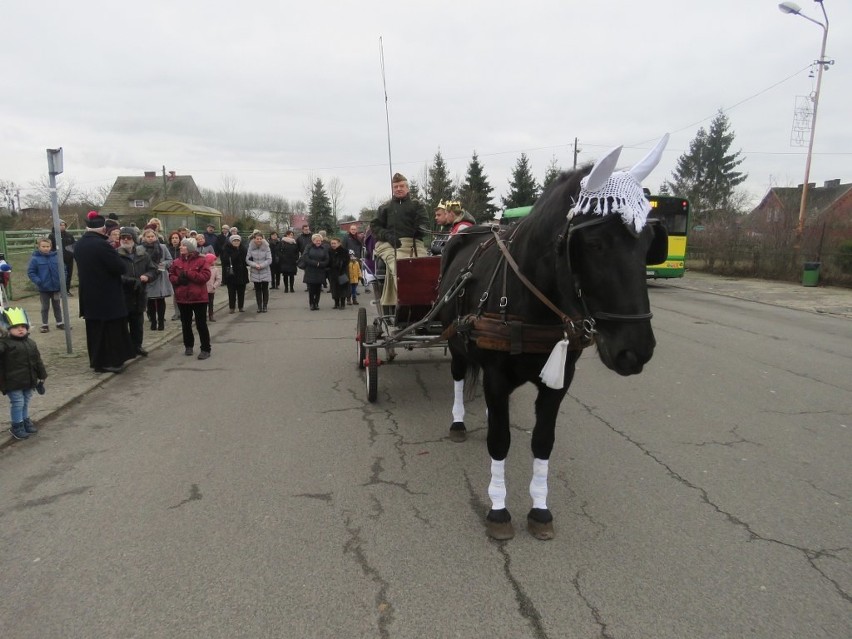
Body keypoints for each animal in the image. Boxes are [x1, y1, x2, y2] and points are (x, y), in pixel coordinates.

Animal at [436, 139, 668, 540]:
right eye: (595, 242)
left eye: (651, 243)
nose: (636, 350)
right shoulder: (495, 376)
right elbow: (500, 442)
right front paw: (499, 509)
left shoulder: (559, 381)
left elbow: (542, 441)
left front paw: (540, 510)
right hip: (455, 343)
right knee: (459, 376)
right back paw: (459, 422)